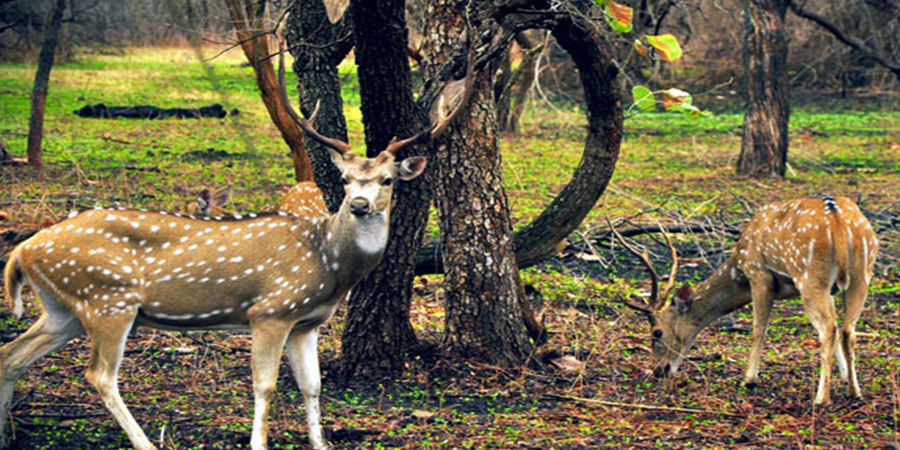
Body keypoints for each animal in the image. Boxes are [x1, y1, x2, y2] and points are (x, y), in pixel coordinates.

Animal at [0, 49, 475, 450]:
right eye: (344, 180)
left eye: (387, 180)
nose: (359, 205)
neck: (329, 264)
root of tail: (23, 251)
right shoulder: (271, 311)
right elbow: (266, 385)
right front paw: (258, 443)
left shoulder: (306, 323)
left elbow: (313, 385)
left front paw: (321, 443)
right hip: (107, 299)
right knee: (99, 375)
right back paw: (145, 443)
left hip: (64, 308)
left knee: (11, 356)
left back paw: (9, 434)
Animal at [612, 194, 878, 405]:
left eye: (657, 332)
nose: (659, 370)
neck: (737, 267)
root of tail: (839, 223)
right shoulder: (831, 291)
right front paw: (844, 376)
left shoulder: (758, 274)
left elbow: (758, 329)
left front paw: (749, 379)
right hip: (861, 274)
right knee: (847, 329)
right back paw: (855, 391)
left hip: (810, 275)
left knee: (828, 328)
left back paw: (821, 399)